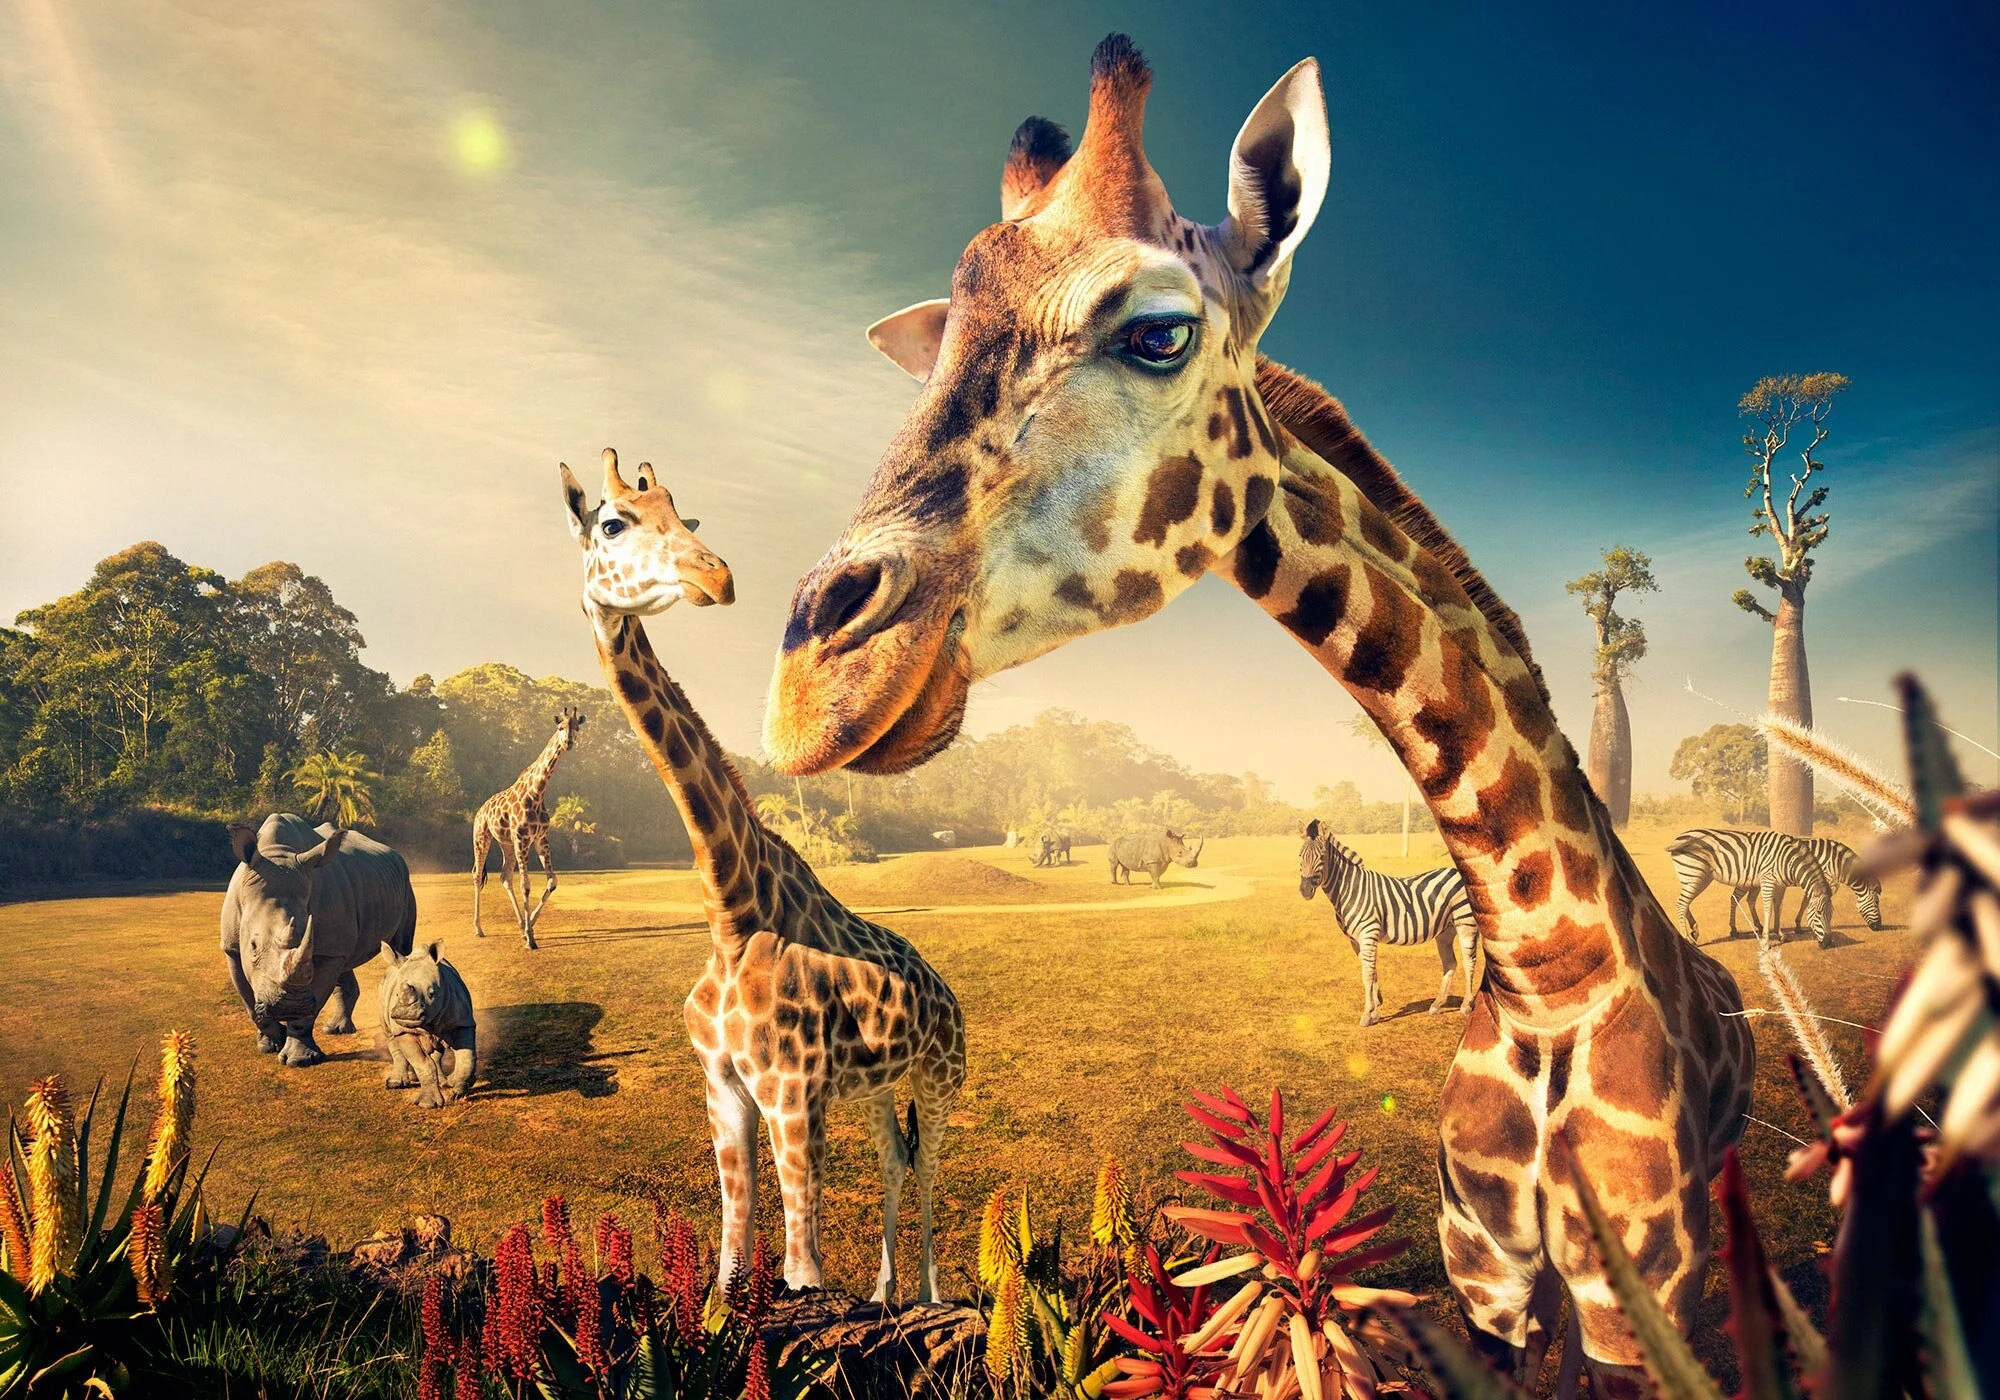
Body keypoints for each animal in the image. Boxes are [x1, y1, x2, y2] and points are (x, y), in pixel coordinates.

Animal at [472, 705, 586, 949]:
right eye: (560, 727)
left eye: (577, 727)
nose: (568, 742)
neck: (537, 792)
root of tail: (480, 810)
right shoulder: (522, 838)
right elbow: (526, 885)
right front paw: (530, 939)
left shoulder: (540, 838)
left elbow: (552, 881)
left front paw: (529, 927)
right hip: (481, 836)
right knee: (477, 875)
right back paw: (478, 928)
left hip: (506, 843)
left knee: (505, 876)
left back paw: (519, 924)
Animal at [558, 448, 966, 1301]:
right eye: (612, 522)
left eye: (686, 517)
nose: (715, 576)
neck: (731, 909)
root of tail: (947, 991)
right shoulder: (723, 1086)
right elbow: (732, 1241)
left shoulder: (792, 1089)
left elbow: (801, 1265)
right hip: (878, 1087)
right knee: (896, 1159)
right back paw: (882, 1295)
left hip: (942, 1075)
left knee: (932, 1163)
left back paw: (932, 1293)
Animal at [761, 36, 1753, 1392]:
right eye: (943, 344)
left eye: (1158, 331)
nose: (811, 690)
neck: (1548, 967)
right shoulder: (1486, 1271)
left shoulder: (1633, 1295)